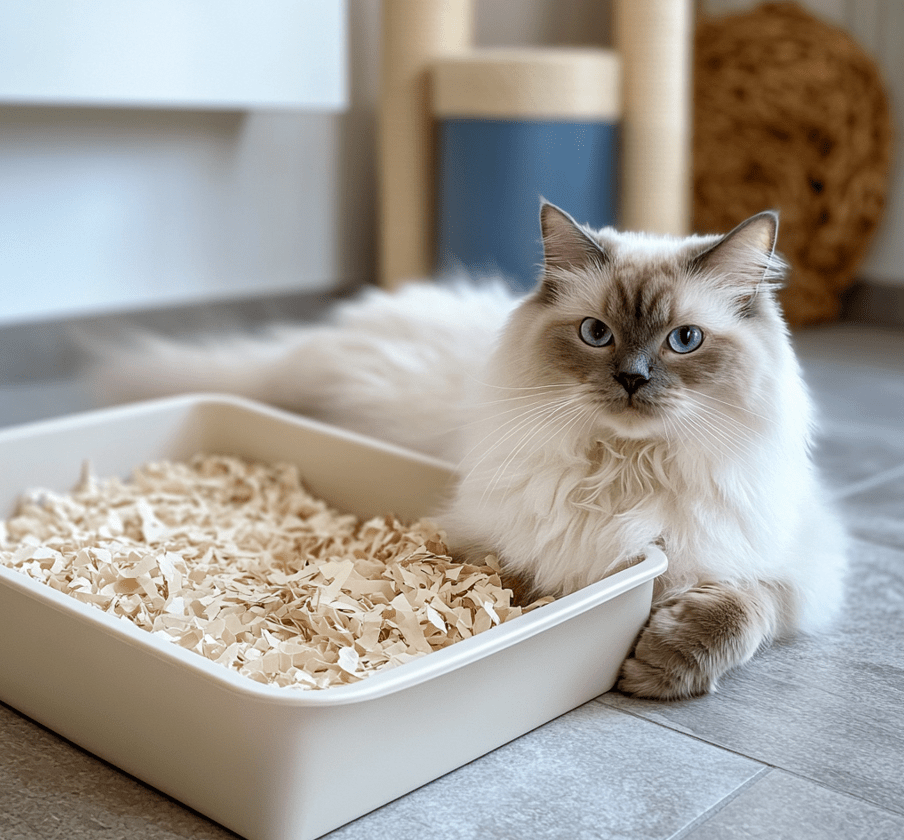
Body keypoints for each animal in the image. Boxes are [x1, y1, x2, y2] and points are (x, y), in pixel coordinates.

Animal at [92, 200, 848, 700]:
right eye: (596, 333)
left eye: (684, 340)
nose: (632, 380)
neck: (625, 471)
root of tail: (332, 331)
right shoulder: (506, 543)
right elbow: (510, 588)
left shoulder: (785, 568)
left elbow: (743, 610)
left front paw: (657, 668)